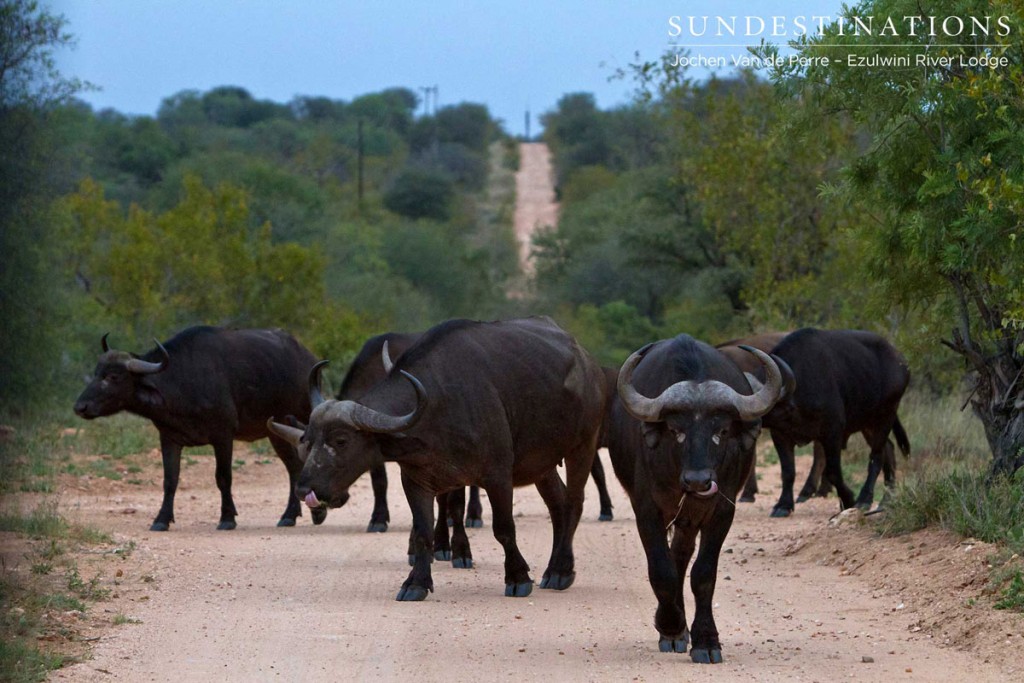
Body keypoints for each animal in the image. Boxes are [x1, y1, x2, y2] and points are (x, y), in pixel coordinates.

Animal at [72, 327, 317, 532]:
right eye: (96, 372)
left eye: (113, 376)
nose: (80, 407)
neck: (183, 381)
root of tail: (307, 358)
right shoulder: (168, 439)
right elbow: (170, 480)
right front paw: (161, 519)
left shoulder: (223, 436)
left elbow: (223, 477)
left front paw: (227, 518)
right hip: (276, 433)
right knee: (294, 467)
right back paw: (290, 516)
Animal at [288, 317, 602, 602]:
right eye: (308, 439)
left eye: (341, 440)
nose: (304, 490)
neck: (438, 405)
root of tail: (586, 361)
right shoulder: (416, 480)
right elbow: (423, 531)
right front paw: (416, 583)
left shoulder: (498, 476)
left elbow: (503, 528)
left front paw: (517, 578)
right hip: (541, 463)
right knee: (558, 503)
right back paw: (555, 568)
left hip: (583, 446)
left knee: (574, 502)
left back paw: (560, 571)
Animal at [606, 335, 782, 663]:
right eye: (676, 430)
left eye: (722, 430)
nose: (698, 480)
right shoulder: (646, 510)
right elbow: (661, 570)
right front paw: (672, 628)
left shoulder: (722, 511)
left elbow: (703, 574)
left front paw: (706, 640)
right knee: (673, 560)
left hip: (690, 520)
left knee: (681, 556)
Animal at [753, 327, 913, 516]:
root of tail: (901, 362)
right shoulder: (780, 435)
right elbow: (788, 471)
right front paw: (783, 505)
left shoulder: (833, 432)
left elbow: (833, 471)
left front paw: (848, 500)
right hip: (868, 424)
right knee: (888, 448)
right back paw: (886, 500)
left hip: (886, 414)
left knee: (877, 456)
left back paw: (865, 499)